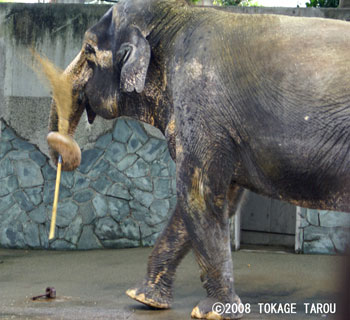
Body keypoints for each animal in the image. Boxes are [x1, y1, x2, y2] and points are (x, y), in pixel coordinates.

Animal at [46, 1, 350, 318]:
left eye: (89, 50)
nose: (65, 154)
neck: (175, 17)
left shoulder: (200, 105)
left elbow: (198, 194)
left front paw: (213, 312)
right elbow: (214, 198)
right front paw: (144, 298)